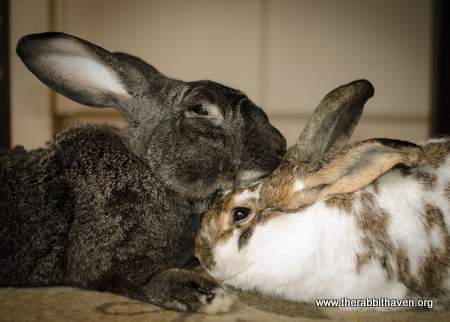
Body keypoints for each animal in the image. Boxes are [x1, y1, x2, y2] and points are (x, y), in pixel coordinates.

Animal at [0, 32, 286, 312]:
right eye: (200, 109)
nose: (280, 146)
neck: (151, 169)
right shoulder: (112, 250)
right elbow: (139, 276)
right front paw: (208, 293)